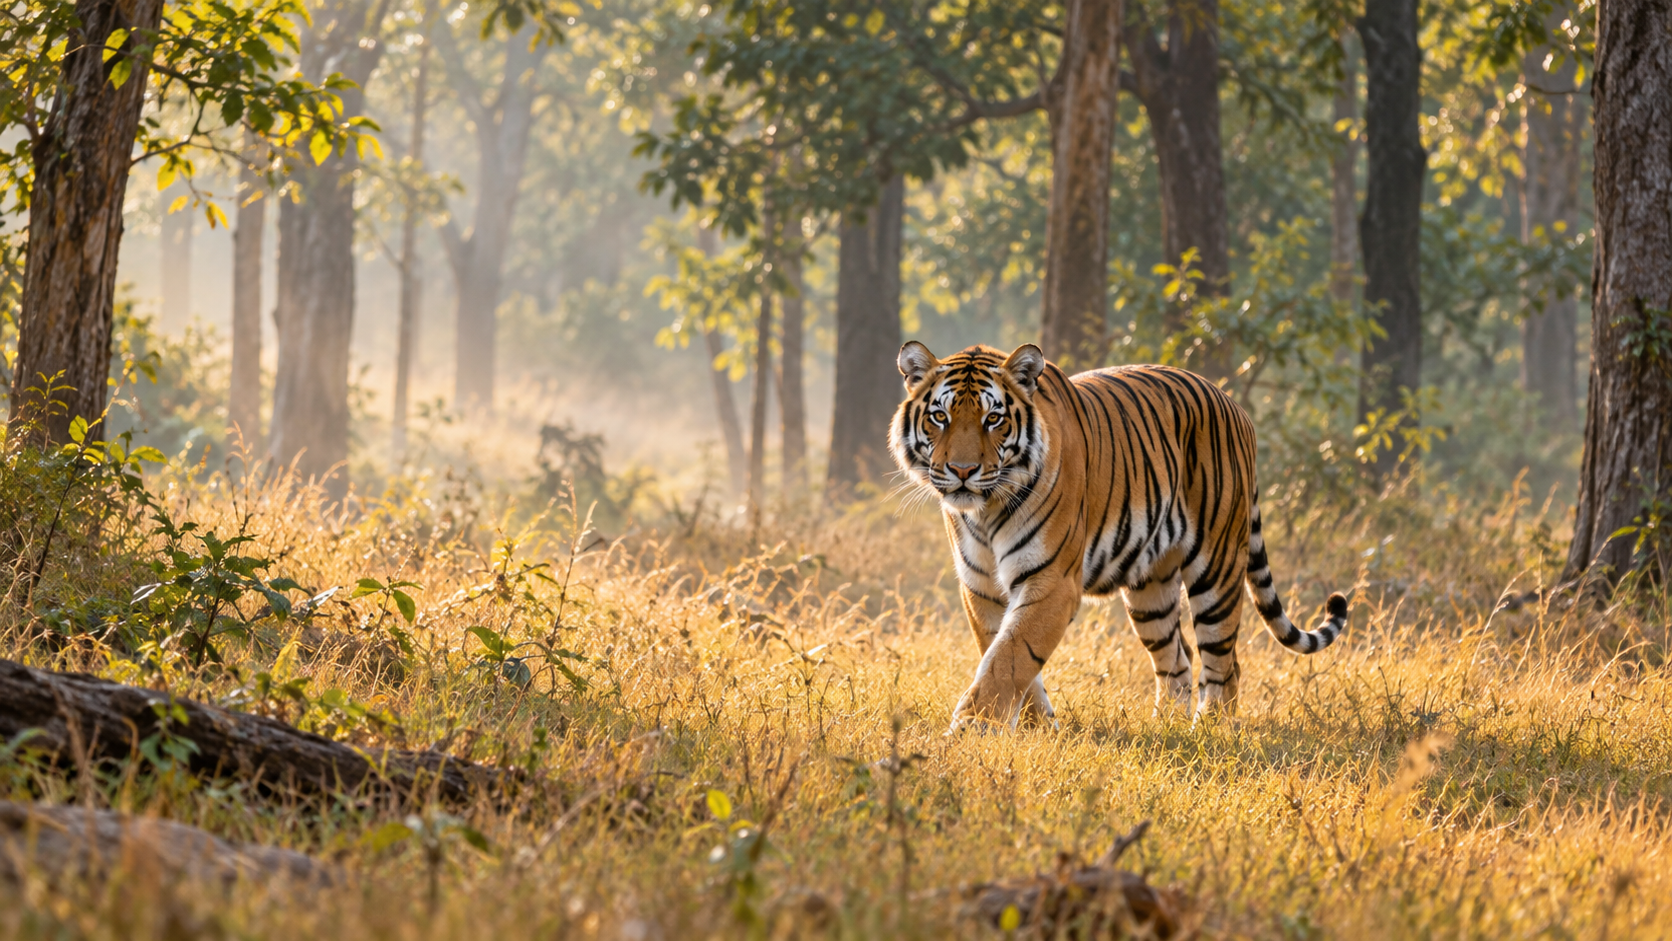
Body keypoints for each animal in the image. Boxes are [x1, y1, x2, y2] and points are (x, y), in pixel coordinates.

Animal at [889, 341, 1348, 731]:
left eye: (994, 419)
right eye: (940, 417)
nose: (963, 471)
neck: (984, 512)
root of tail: (1235, 405)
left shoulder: (1051, 581)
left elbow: (1011, 656)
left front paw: (973, 727)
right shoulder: (981, 586)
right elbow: (1002, 653)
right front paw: (1038, 728)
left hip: (1217, 570)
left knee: (1224, 663)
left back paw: (1209, 732)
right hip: (1151, 589)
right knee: (1176, 659)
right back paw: (1167, 729)